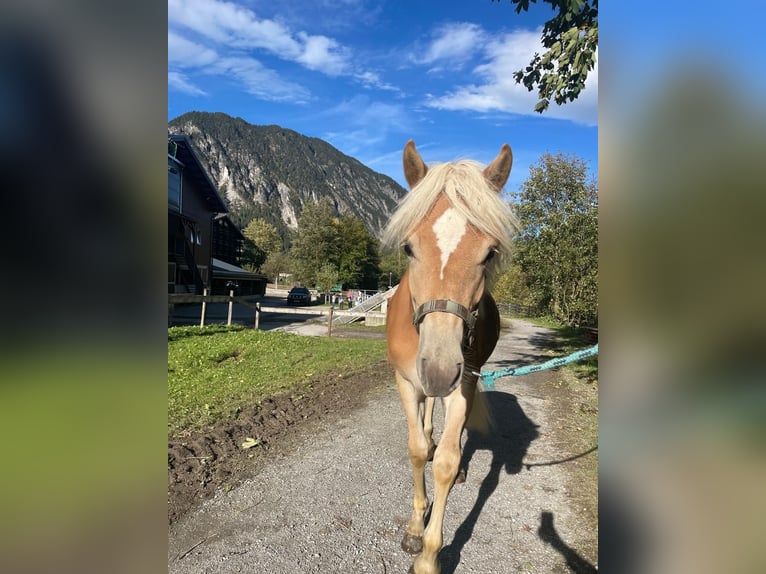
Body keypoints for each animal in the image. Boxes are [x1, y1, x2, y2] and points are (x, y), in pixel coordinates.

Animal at [384, 141, 520, 574]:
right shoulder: (406, 380)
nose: (440, 368)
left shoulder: (464, 382)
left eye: (489, 253)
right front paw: (415, 526)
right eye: (409, 248)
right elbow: (415, 449)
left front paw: (429, 554)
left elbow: (444, 460)